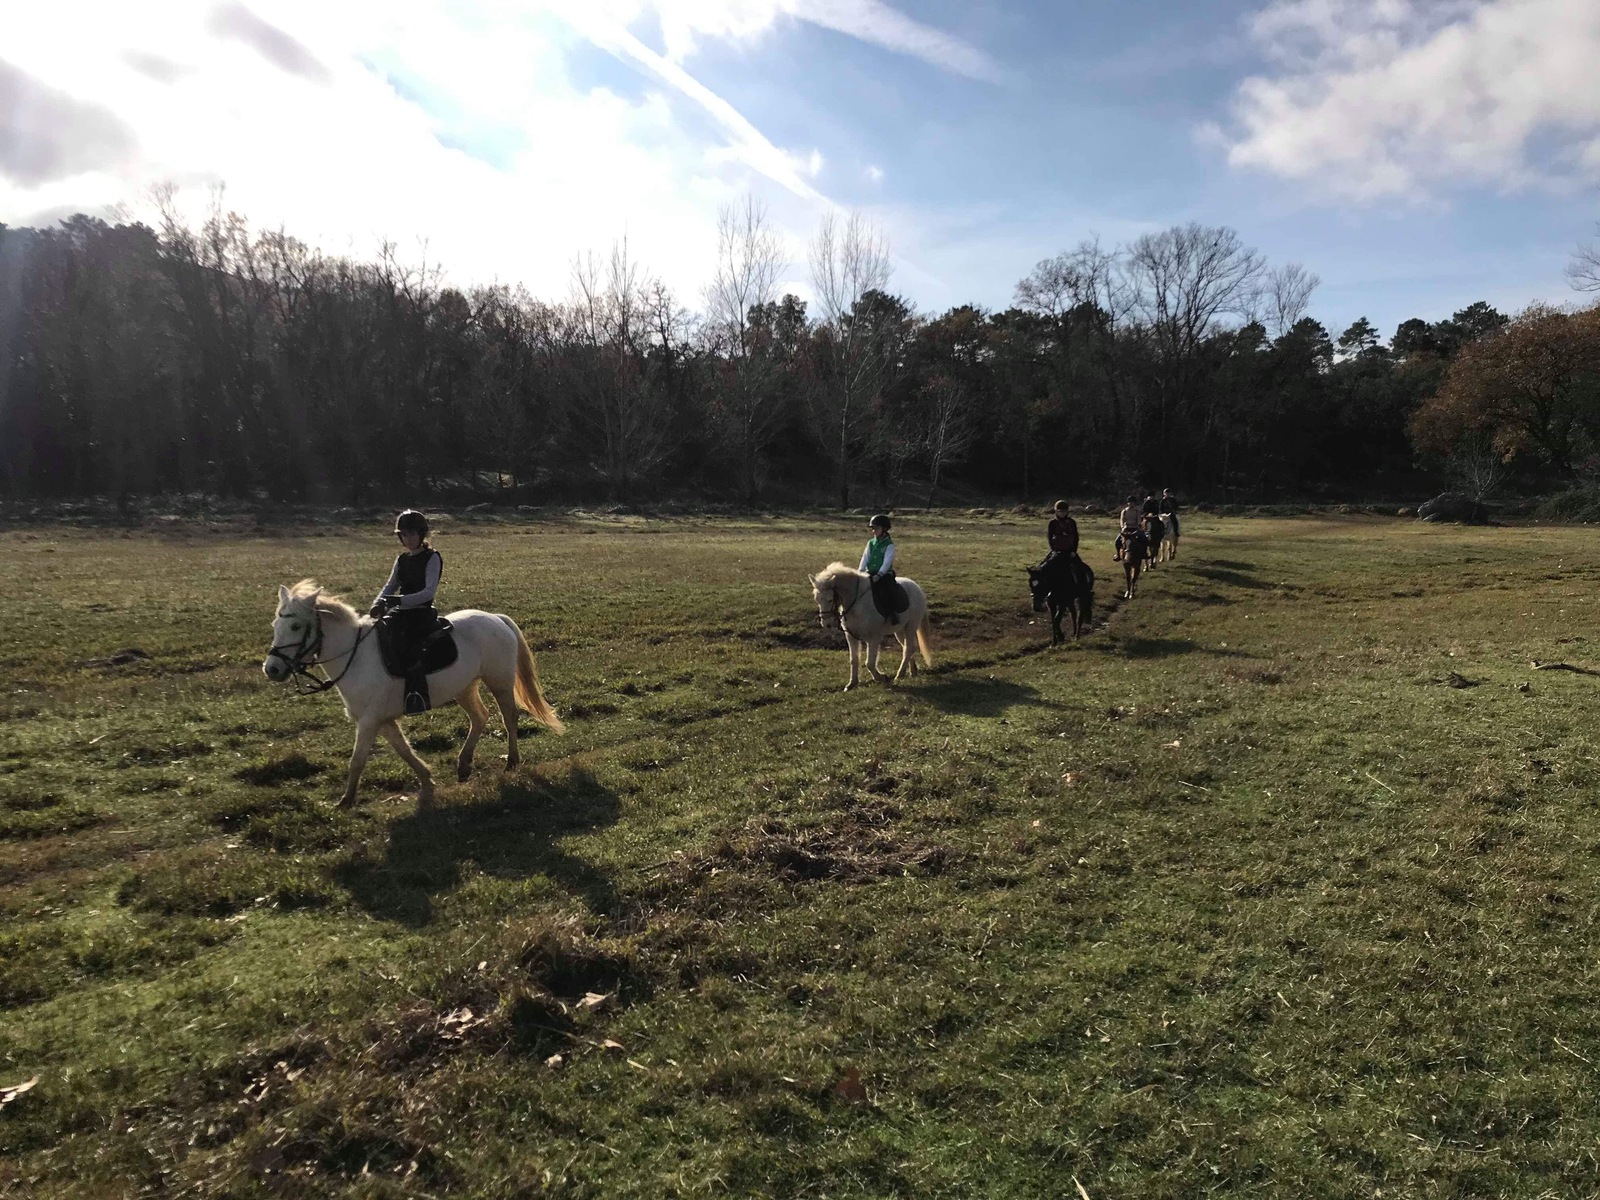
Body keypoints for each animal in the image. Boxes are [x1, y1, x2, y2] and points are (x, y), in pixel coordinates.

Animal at [262, 581, 564, 808]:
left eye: (296, 626)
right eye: (275, 625)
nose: (272, 669)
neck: (355, 656)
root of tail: (496, 619)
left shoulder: (369, 722)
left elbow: (357, 760)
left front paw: (346, 800)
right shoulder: (383, 721)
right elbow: (404, 750)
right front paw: (427, 779)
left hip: (499, 682)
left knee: (509, 718)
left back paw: (511, 762)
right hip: (465, 688)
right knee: (480, 718)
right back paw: (464, 765)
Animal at [809, 563, 933, 691]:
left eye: (830, 599)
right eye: (816, 599)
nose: (826, 624)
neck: (857, 603)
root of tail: (917, 587)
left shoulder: (873, 638)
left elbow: (869, 663)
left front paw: (881, 677)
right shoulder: (851, 637)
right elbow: (854, 660)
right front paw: (852, 683)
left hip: (911, 626)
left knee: (908, 648)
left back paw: (900, 675)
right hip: (899, 630)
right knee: (908, 647)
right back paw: (912, 672)